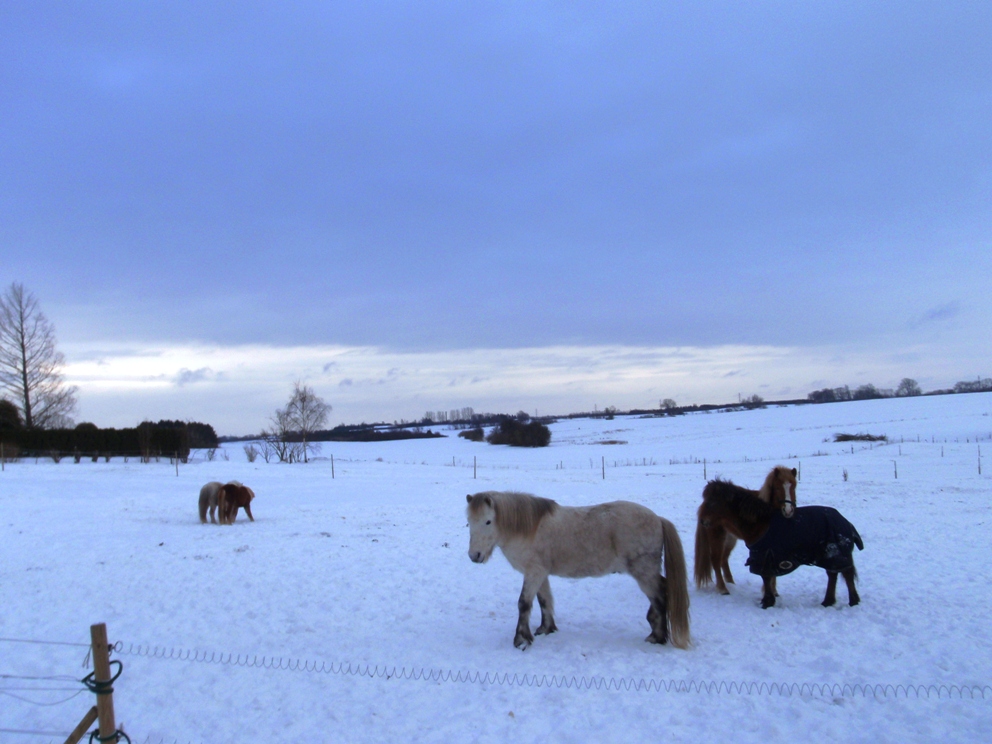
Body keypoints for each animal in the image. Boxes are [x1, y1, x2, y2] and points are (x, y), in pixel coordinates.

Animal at [466, 494, 688, 652]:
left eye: (488, 521)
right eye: (469, 522)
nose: (474, 556)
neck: (529, 529)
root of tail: (658, 519)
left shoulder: (534, 573)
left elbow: (524, 604)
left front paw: (521, 640)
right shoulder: (540, 574)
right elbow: (544, 601)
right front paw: (545, 629)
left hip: (644, 573)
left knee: (660, 598)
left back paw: (657, 637)